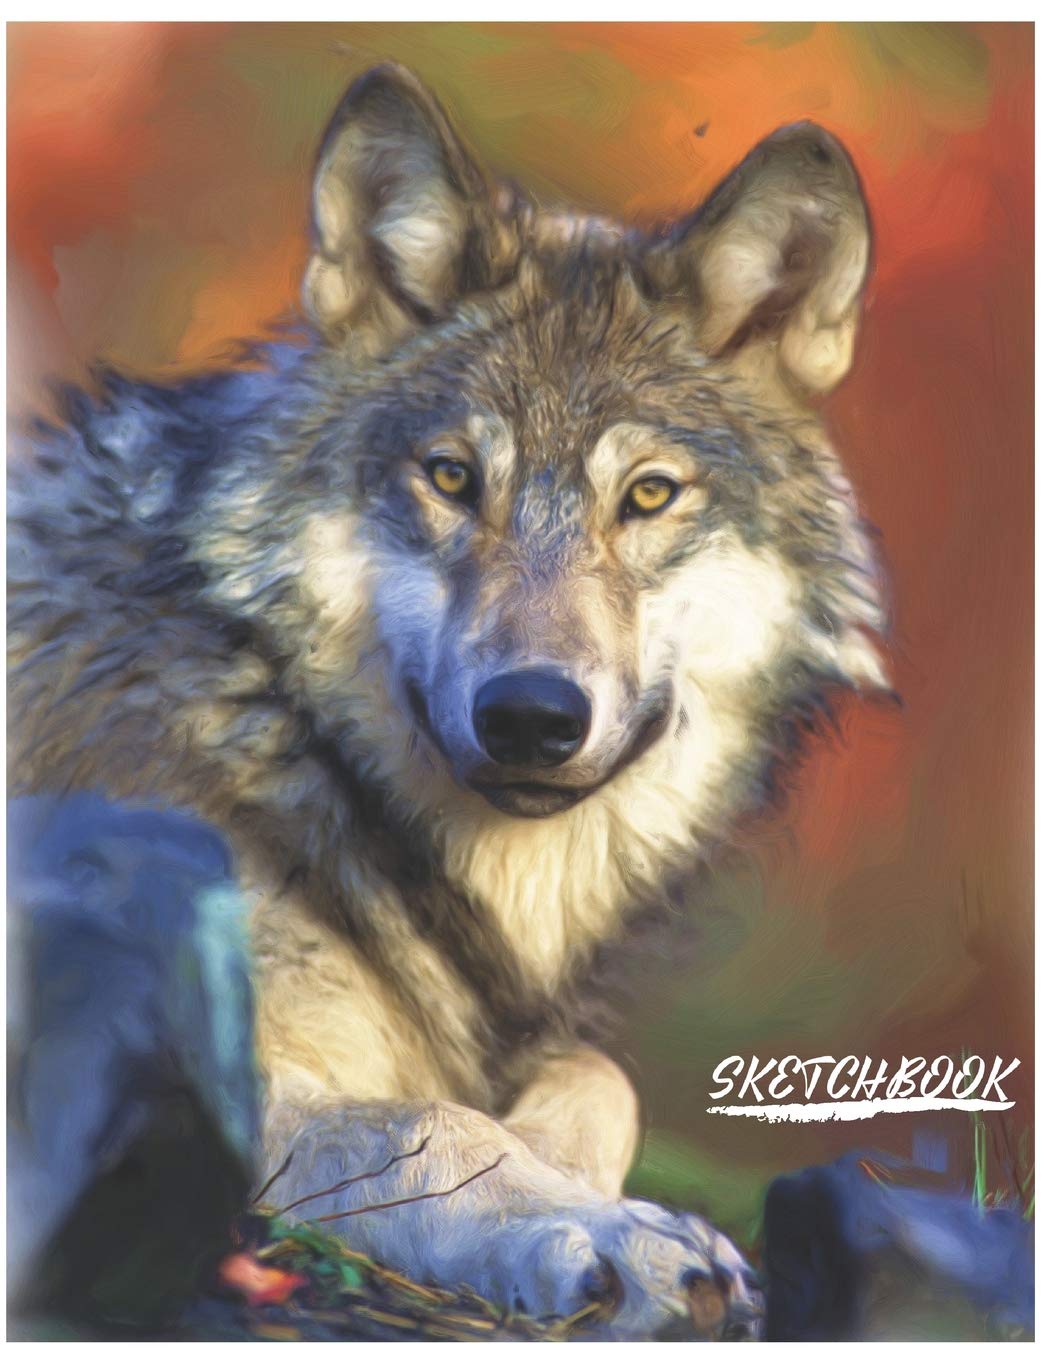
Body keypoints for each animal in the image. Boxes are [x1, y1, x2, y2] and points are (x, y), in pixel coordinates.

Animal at [8, 64, 887, 1336]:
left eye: (648, 495)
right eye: (452, 477)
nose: (531, 714)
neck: (282, 730)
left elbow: (597, 1078)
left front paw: (577, 1189)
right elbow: (431, 1121)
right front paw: (611, 1233)